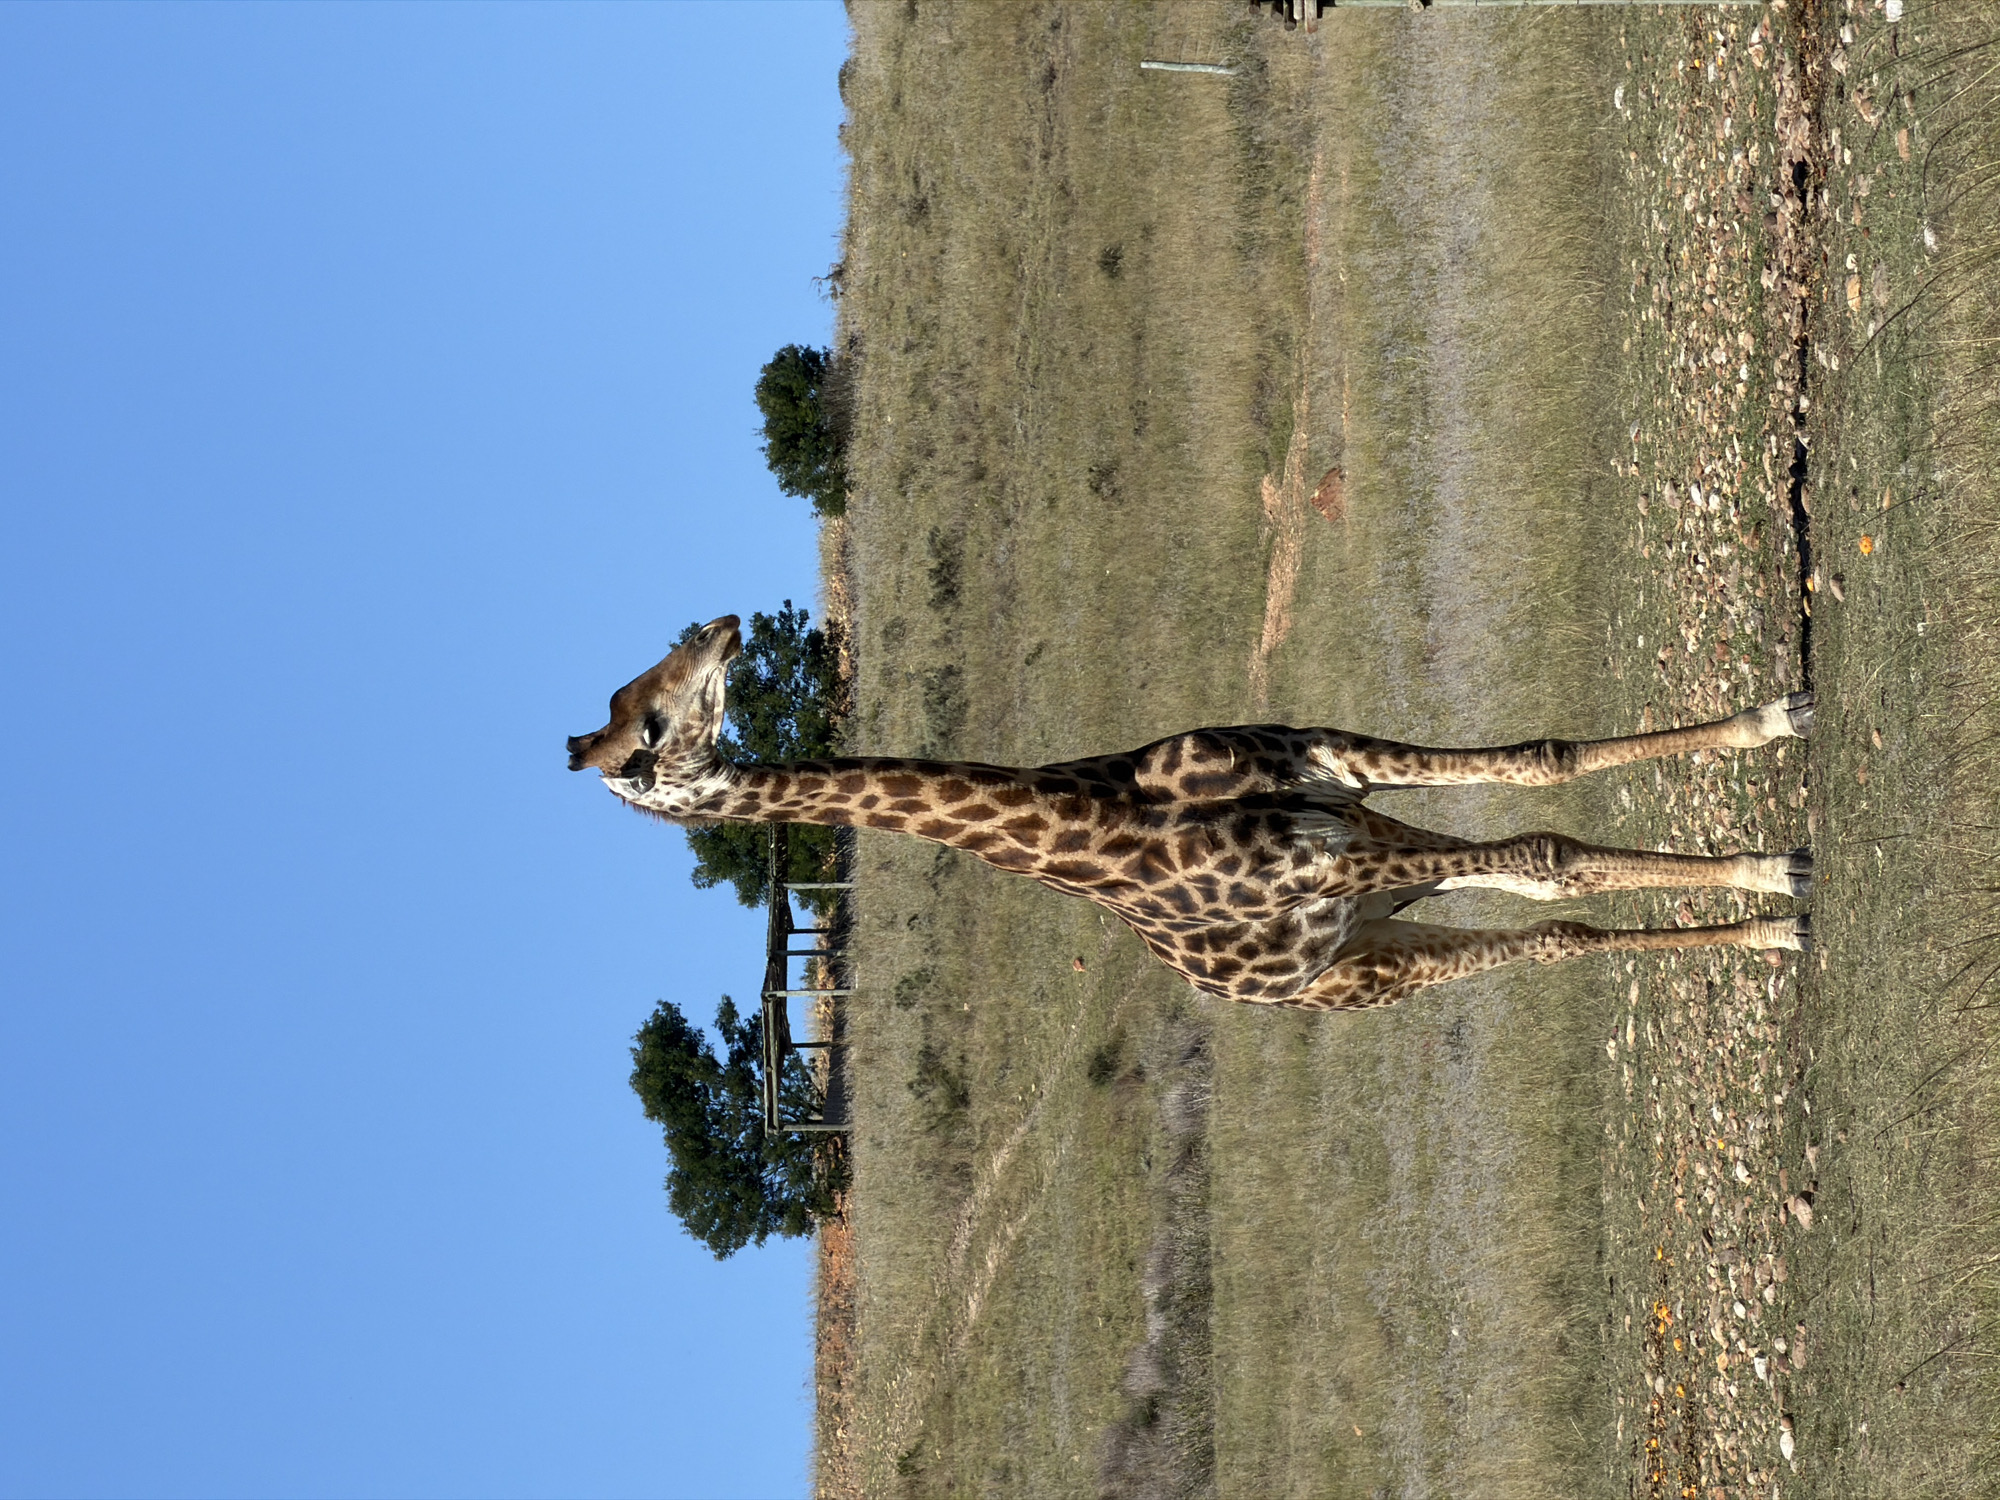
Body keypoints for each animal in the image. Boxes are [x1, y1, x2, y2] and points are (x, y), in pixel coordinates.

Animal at [567, 616, 1813, 1011]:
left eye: (652, 697)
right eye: (648, 729)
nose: (723, 625)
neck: (1110, 816)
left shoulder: (1329, 772)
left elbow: (1539, 774)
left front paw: (1769, 730)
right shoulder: (1332, 862)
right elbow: (1551, 856)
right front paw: (1773, 891)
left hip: (1372, 886)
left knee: (1531, 878)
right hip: (1364, 967)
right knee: (1545, 920)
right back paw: (1766, 906)